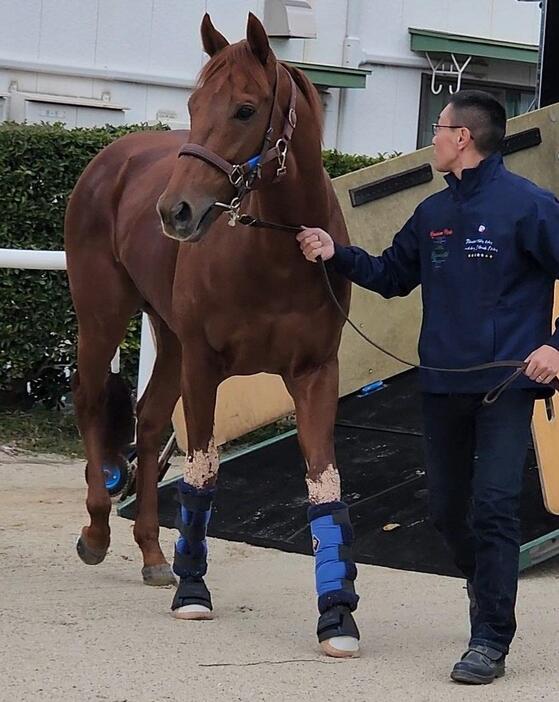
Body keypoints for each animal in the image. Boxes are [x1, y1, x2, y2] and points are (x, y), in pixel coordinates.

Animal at [65, 13, 360, 656]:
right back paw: (97, 529)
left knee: (150, 422)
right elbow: (202, 472)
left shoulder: (315, 374)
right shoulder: (204, 367)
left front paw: (337, 615)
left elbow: (324, 483)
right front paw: (194, 591)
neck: (276, 250)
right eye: (194, 104)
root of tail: (112, 159)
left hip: (168, 337)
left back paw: (153, 551)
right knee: (92, 404)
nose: (174, 211)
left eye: (246, 109)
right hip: (102, 317)